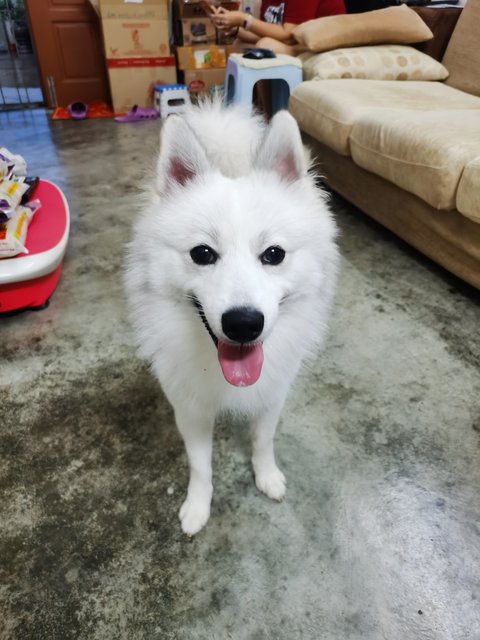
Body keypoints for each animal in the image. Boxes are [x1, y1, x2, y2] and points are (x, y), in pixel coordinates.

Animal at [125, 101, 340, 536]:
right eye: (202, 254)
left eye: (274, 254)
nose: (244, 324)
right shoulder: (190, 411)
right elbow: (200, 466)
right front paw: (197, 507)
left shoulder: (272, 396)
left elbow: (263, 441)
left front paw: (267, 476)